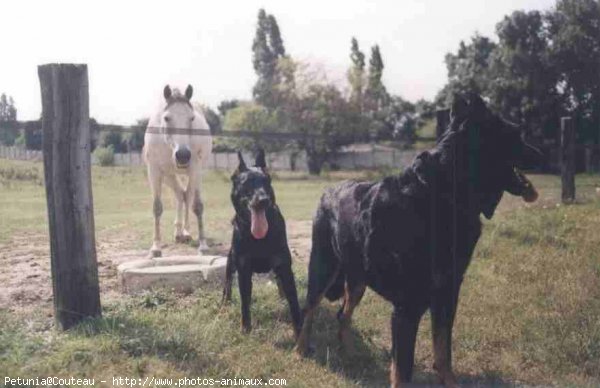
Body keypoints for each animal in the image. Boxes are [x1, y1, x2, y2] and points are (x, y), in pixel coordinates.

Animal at [143, 84, 213, 258]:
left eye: (192, 118)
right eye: (167, 118)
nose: (182, 156)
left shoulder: (195, 168)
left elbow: (197, 206)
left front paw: (203, 246)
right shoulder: (154, 170)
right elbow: (157, 207)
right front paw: (156, 248)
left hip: (194, 174)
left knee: (187, 195)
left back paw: (186, 233)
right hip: (168, 175)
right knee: (180, 194)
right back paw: (178, 233)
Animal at [223, 150, 302, 338]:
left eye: (267, 181)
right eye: (246, 183)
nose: (264, 199)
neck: (258, 237)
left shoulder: (284, 267)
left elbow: (294, 302)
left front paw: (299, 332)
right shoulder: (243, 270)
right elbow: (244, 302)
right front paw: (245, 328)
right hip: (231, 259)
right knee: (228, 281)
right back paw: (225, 303)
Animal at [296, 94, 544, 388]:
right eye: (515, 135)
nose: (542, 155)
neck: (444, 194)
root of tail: (328, 191)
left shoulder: (447, 293)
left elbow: (443, 351)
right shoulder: (408, 306)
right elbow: (403, 369)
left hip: (357, 280)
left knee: (342, 313)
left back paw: (350, 353)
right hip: (323, 268)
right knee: (309, 309)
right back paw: (301, 350)